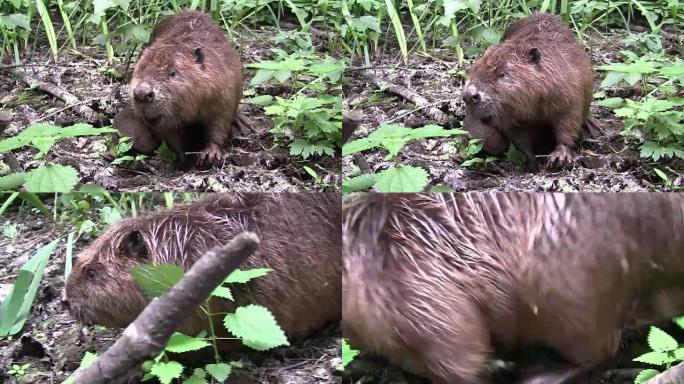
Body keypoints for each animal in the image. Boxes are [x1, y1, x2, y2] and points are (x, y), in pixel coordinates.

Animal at [116, 10, 244, 166]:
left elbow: (219, 123)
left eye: (173, 73)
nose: (141, 93)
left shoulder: (223, 89)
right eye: (140, 70)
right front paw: (181, 161)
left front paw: (209, 154)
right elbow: (172, 136)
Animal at [460, 13, 600, 168]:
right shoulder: (510, 117)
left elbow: (569, 122)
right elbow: (519, 138)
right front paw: (532, 162)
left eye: (502, 74)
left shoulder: (567, 91)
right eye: (474, 69)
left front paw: (559, 156)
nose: (469, 95)